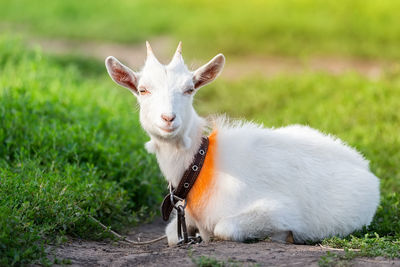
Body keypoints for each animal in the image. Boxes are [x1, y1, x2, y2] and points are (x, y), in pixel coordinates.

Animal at [104, 41, 380, 245]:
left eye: (190, 89)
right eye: (142, 90)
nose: (168, 118)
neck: (201, 165)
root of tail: (364, 164)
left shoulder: (280, 210)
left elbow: (224, 227)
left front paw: (283, 236)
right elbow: (172, 234)